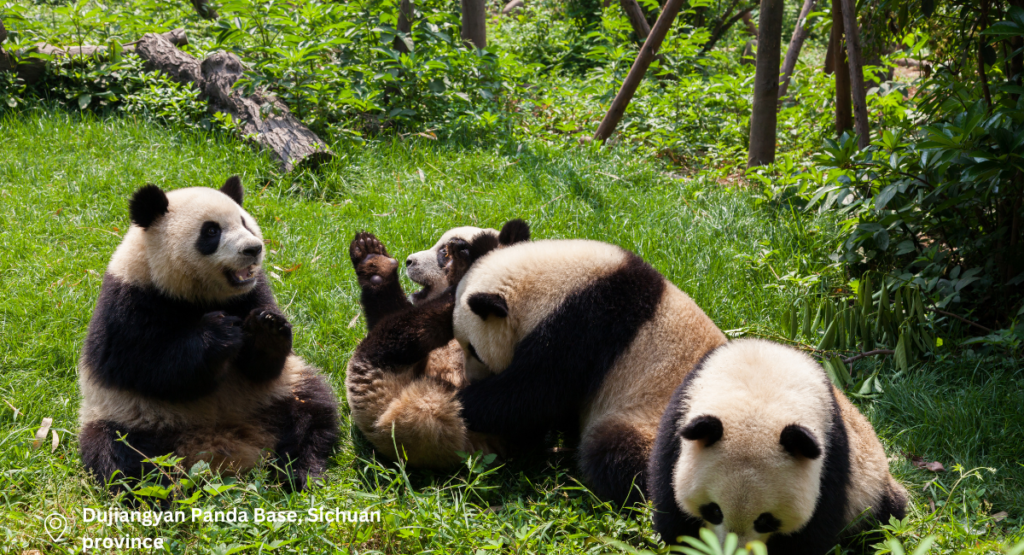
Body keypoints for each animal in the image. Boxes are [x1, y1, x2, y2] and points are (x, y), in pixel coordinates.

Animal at [78, 177, 339, 494]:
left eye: (244, 222)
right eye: (211, 231)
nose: (253, 249)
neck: (197, 293)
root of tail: (223, 446)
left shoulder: (253, 292)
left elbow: (262, 368)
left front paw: (266, 329)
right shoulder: (129, 301)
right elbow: (146, 368)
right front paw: (218, 333)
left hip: (280, 392)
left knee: (314, 413)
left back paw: (301, 473)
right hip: (126, 414)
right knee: (121, 457)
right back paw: (160, 497)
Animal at [344, 221, 529, 469]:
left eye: (442, 253)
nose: (410, 261)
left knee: (403, 330)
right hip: (382, 391)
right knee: (404, 323)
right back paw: (373, 262)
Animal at [449, 238, 727, 506]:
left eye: (473, 350)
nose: (471, 378)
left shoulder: (583, 328)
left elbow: (532, 395)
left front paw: (462, 399)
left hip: (653, 422)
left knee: (614, 451)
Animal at [646, 338, 908, 553]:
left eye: (765, 520)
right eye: (714, 510)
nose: (735, 552)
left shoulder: (831, 456)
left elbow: (811, 532)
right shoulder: (678, 419)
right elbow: (672, 511)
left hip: (869, 491)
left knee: (886, 519)